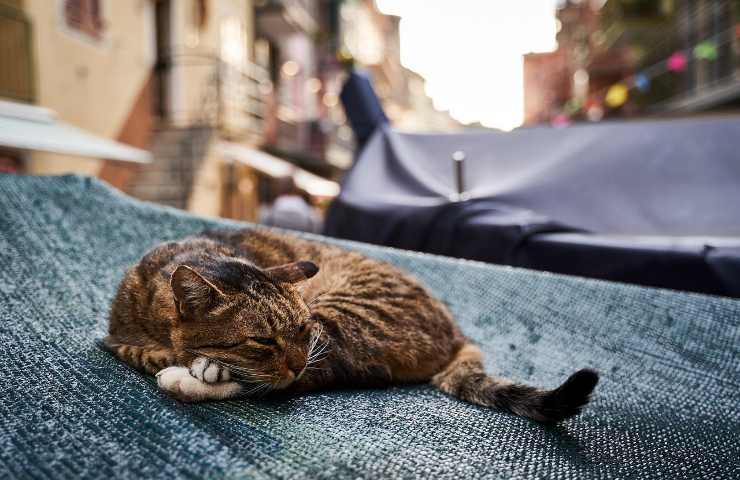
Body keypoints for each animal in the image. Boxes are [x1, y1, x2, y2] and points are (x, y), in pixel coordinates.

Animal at [104, 228, 600, 420]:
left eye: (302, 330)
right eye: (262, 340)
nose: (296, 361)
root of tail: (457, 333)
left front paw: (203, 368)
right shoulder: (117, 341)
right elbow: (140, 352)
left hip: (347, 318)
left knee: (310, 379)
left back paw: (188, 380)